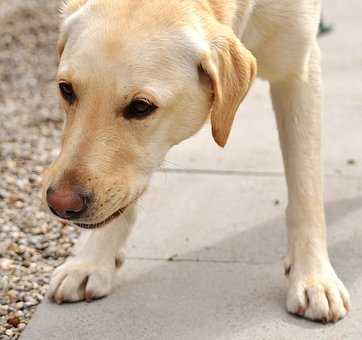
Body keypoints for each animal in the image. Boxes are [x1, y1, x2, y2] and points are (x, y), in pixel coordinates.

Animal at [41, 0, 348, 322]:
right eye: (66, 89)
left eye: (140, 107)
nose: (60, 204)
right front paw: (91, 261)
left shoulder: (298, 73)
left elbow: (305, 189)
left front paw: (313, 278)